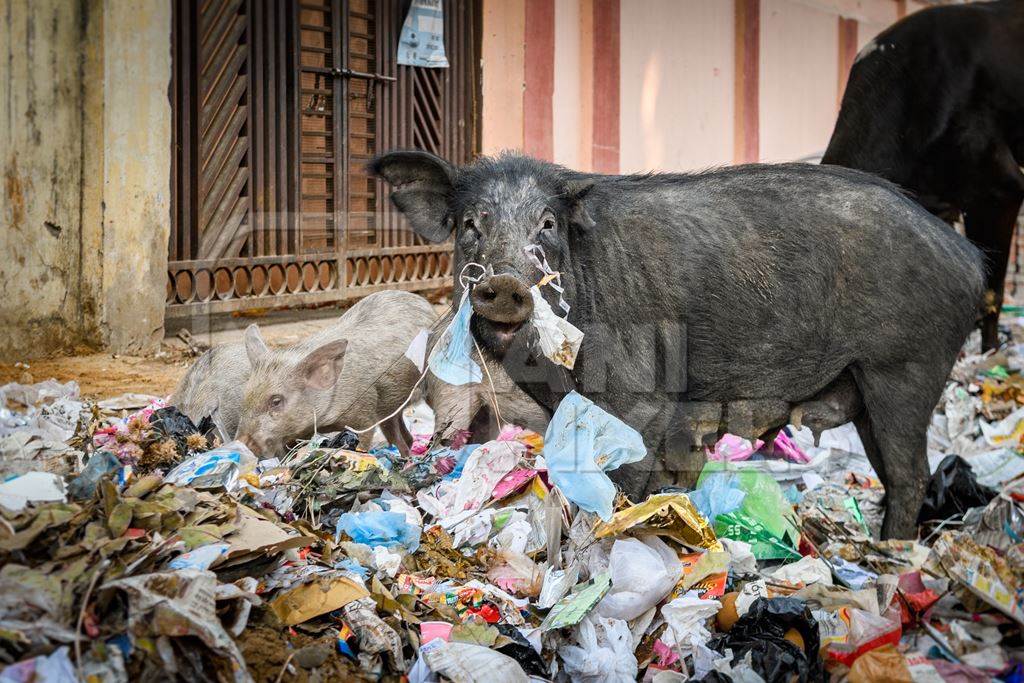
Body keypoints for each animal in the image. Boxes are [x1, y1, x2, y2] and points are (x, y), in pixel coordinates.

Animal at [370, 150, 983, 540]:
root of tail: (968, 257)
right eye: (471, 224)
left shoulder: (642, 397)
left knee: (909, 474)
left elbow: (626, 481)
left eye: (546, 224)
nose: (504, 284)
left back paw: (891, 551)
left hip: (905, 367)